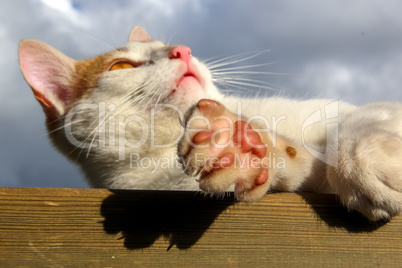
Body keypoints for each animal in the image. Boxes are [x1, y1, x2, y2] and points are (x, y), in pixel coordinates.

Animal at [18, 26, 402, 221]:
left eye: (167, 45)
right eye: (121, 66)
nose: (182, 50)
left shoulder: (353, 111)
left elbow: (358, 122)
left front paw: (360, 163)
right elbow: (300, 163)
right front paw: (239, 149)